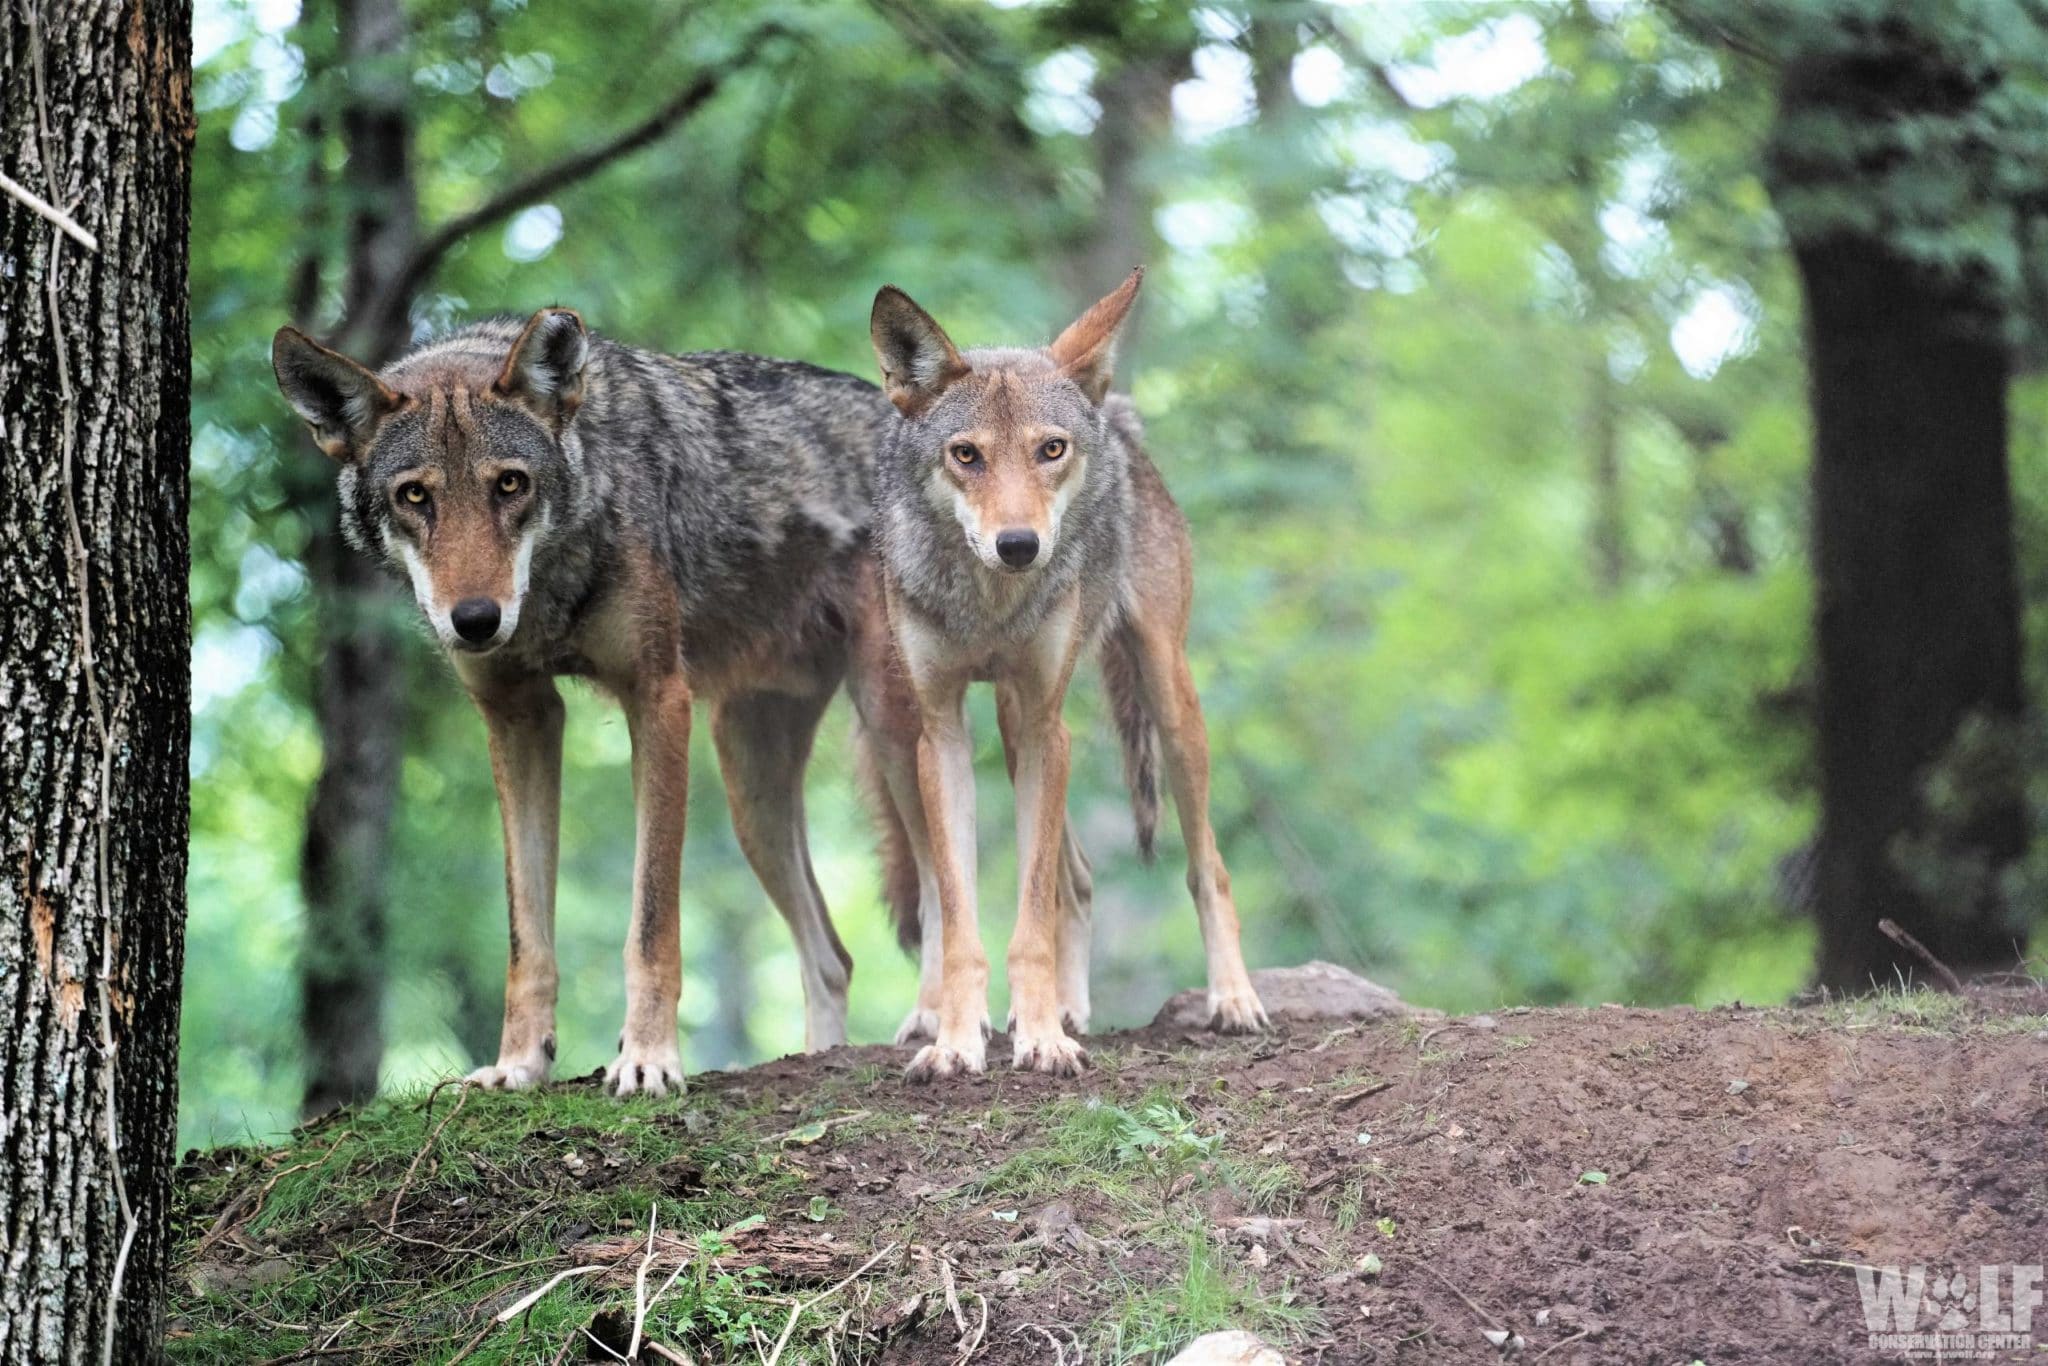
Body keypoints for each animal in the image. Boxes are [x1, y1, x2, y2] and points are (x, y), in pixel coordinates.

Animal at [272, 305, 888, 1097]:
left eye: (510, 485)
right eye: (415, 496)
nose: (476, 621)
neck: (551, 585)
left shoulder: (658, 700)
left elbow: (651, 925)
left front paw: (648, 1058)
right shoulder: (521, 718)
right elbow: (525, 938)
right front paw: (518, 1065)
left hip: (894, 720)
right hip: (752, 793)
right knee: (832, 958)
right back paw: (827, 1056)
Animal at [856, 266, 1269, 1081]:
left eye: (1050, 449)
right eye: (966, 455)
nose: (1019, 545)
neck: (988, 605)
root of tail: (1120, 419)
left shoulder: (1050, 723)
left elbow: (1030, 926)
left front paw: (1043, 1041)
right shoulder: (942, 732)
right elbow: (961, 918)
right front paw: (959, 1042)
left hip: (1160, 703)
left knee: (1206, 867)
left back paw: (1231, 999)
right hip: (986, 728)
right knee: (1070, 879)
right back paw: (1046, 1010)